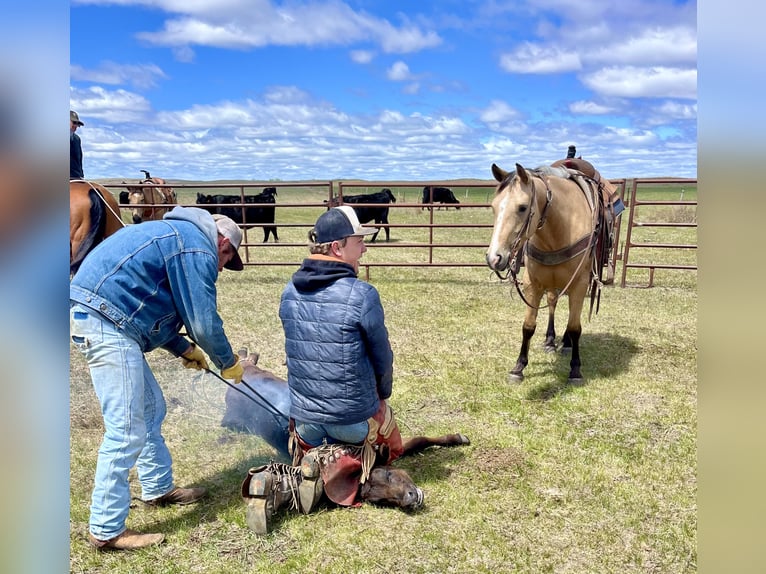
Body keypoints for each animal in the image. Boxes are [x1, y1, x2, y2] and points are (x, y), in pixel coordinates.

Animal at [485, 161, 618, 383]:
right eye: (494, 207)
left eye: (522, 207)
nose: (494, 258)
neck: (558, 230)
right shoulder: (533, 283)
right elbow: (528, 326)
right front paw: (518, 367)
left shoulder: (579, 284)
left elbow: (575, 327)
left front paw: (575, 369)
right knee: (552, 303)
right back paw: (550, 340)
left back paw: (566, 342)